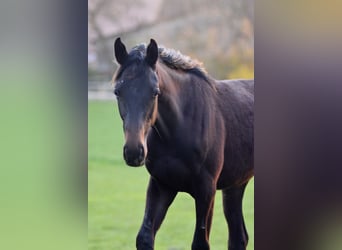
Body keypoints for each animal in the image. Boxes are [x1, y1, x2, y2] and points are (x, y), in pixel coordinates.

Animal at [113, 37, 254, 250]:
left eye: (155, 92)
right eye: (117, 91)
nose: (134, 152)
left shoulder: (206, 189)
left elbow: (200, 243)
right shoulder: (161, 184)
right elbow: (144, 237)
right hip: (236, 184)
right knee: (239, 237)